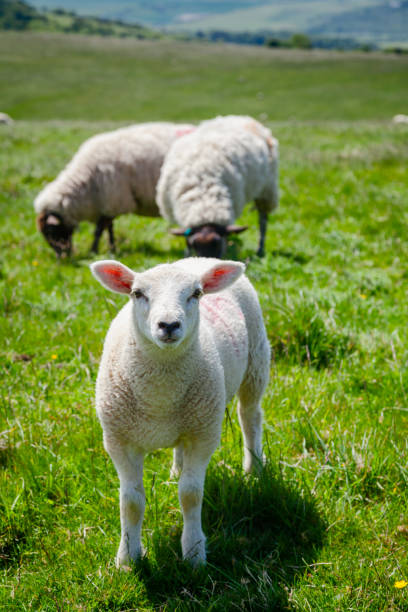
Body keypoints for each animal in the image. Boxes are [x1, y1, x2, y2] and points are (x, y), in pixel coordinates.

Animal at [34, 122, 194, 258]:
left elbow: (99, 230)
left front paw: (94, 251)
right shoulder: (108, 203)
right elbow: (109, 228)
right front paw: (112, 249)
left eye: (50, 230)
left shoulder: (113, 199)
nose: (61, 257)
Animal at [90, 256, 270, 568]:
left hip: (256, 361)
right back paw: (176, 469)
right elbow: (131, 502)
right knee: (180, 446)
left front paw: (194, 553)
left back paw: (253, 468)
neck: (160, 396)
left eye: (196, 294)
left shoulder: (203, 436)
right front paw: (127, 559)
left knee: (250, 417)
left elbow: (190, 495)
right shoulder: (119, 441)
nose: (169, 325)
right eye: (137, 293)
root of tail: (200, 259)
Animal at [157, 115, 280, 258]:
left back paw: (260, 250)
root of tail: (241, 117)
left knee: (263, 220)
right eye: (194, 245)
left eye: (217, 244)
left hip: (267, 189)